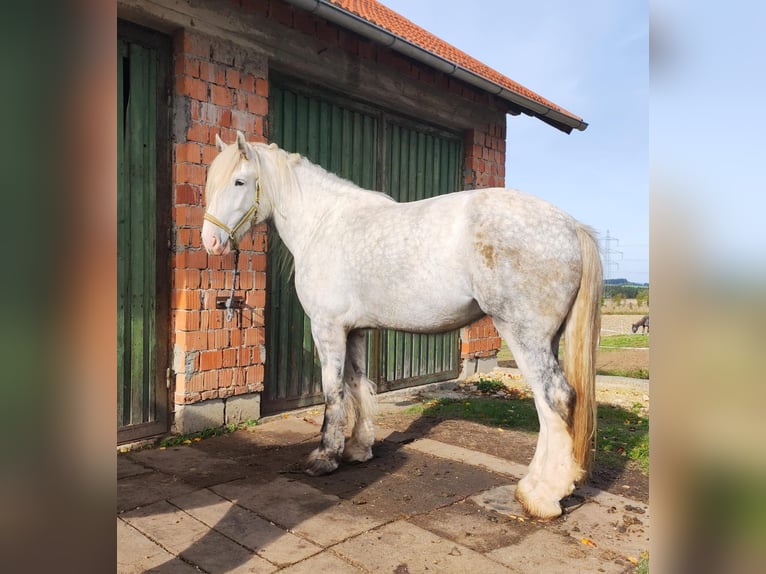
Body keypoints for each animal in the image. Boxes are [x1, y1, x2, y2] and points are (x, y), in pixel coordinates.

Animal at [201, 131, 603, 519]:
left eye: (239, 181)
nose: (210, 242)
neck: (323, 223)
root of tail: (570, 226)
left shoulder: (327, 328)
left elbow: (333, 391)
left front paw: (325, 457)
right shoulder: (356, 330)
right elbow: (357, 385)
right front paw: (359, 449)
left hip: (523, 335)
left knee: (553, 399)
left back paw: (541, 495)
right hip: (547, 339)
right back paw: (539, 487)